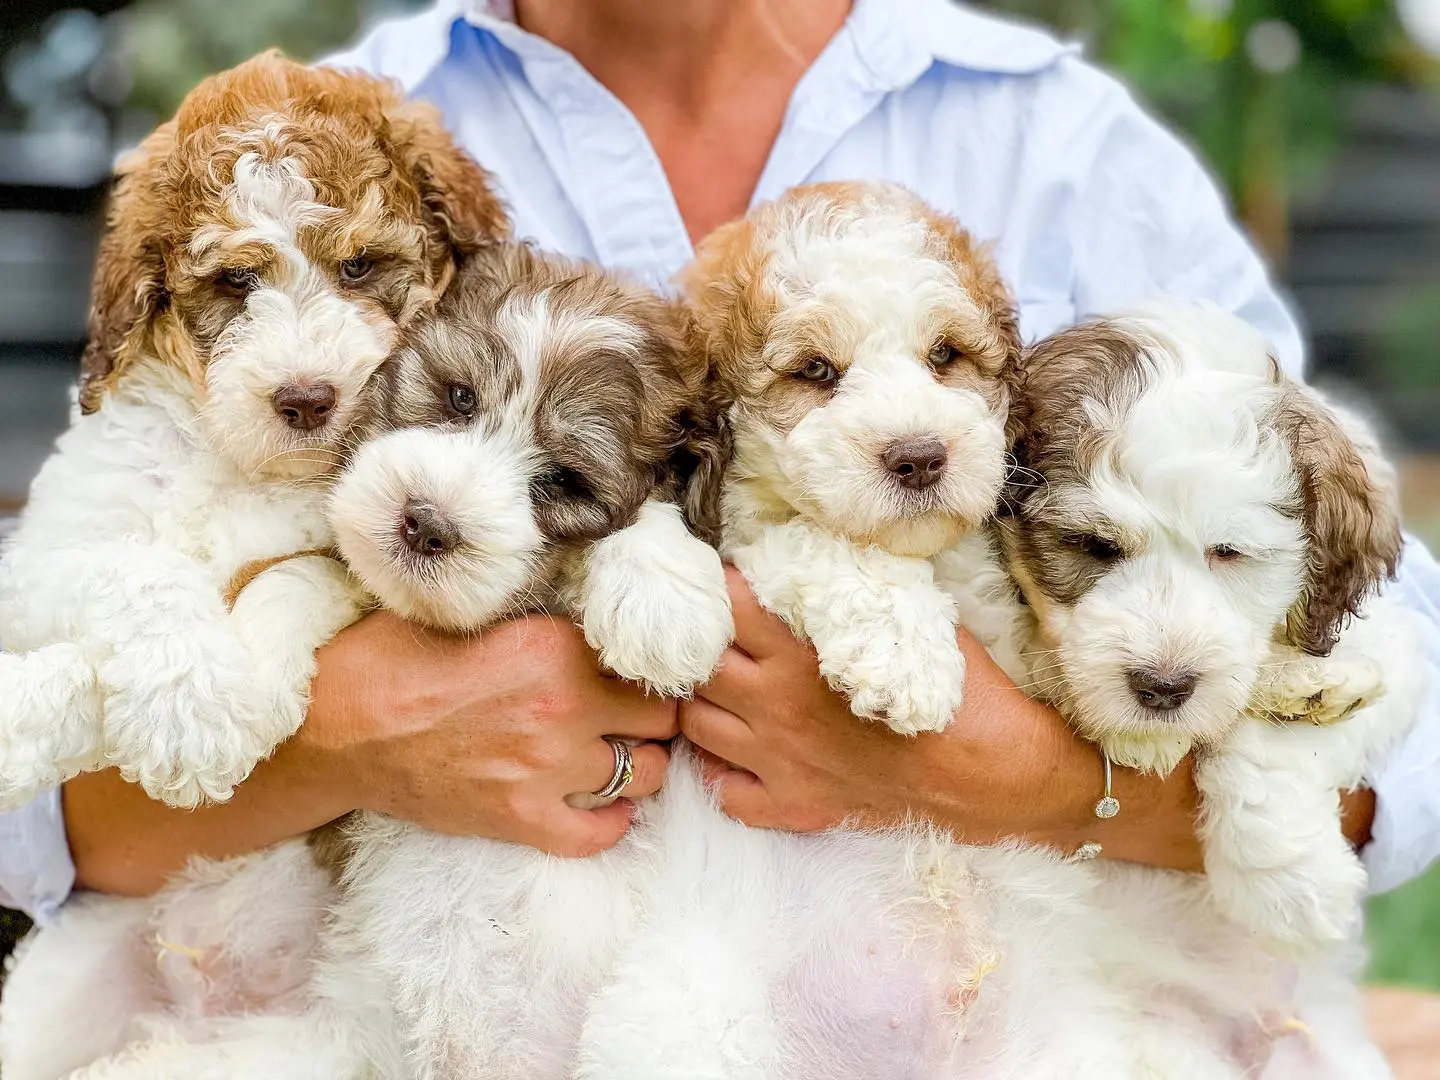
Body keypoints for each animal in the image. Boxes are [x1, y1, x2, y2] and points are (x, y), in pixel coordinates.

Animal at [0, 50, 506, 812]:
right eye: (236, 280)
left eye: (358, 265)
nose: (307, 400)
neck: (236, 461)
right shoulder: (37, 560)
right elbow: (138, 567)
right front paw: (189, 709)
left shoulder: (360, 551)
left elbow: (296, 572)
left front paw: (245, 691)